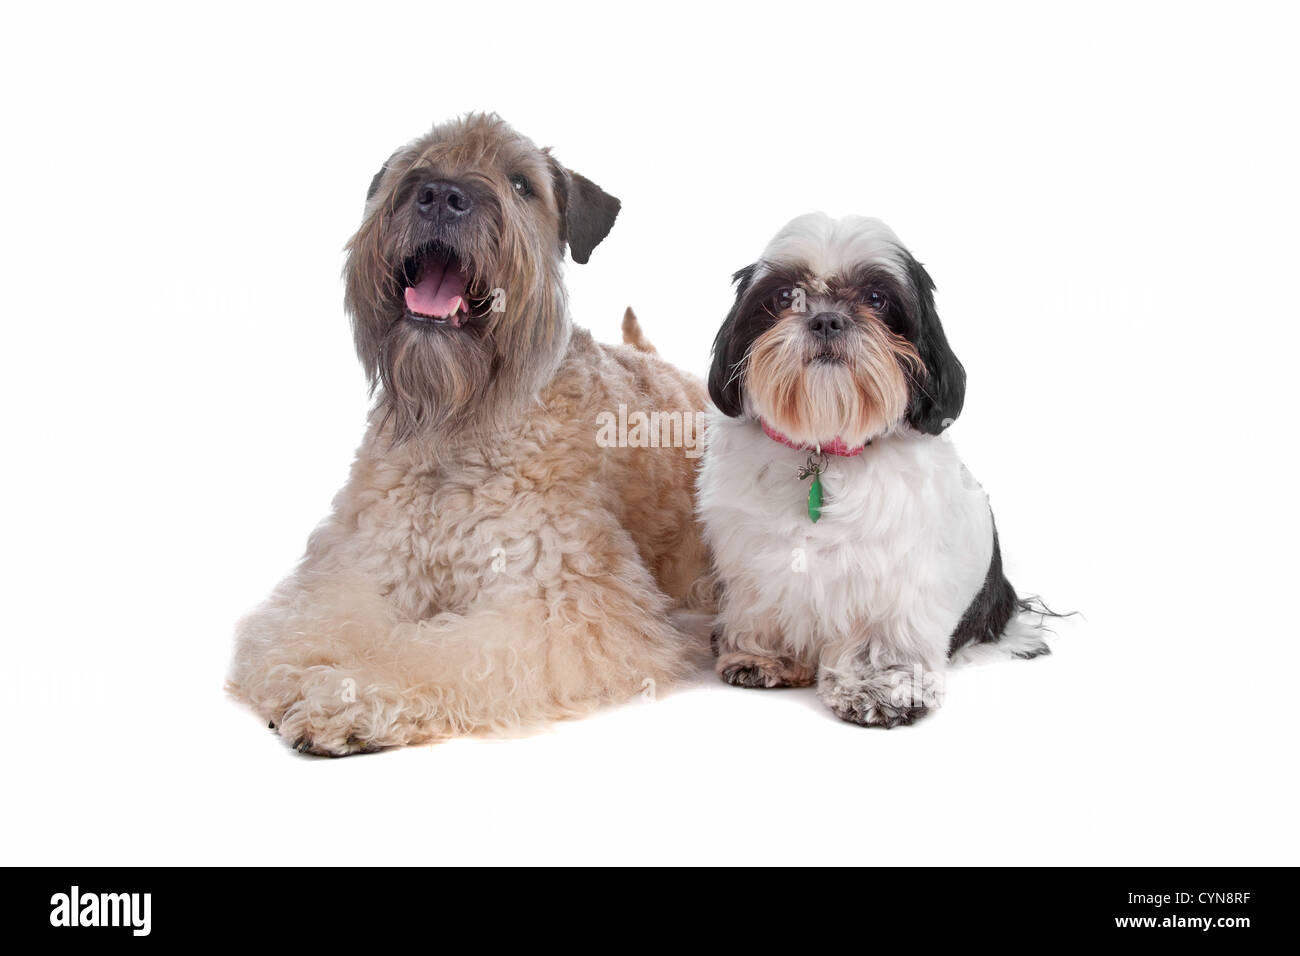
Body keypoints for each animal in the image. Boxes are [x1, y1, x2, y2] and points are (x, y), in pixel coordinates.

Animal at [226, 113, 712, 754]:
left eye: (522, 183)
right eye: (416, 164)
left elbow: (425, 655)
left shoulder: (558, 603)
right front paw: (297, 671)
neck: (456, 434)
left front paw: (346, 696)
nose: (439, 195)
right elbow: (316, 624)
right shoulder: (360, 565)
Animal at [702, 213, 1045, 728]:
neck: (827, 445)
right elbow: (766, 604)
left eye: (877, 299)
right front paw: (766, 656)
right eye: (783, 297)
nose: (826, 318)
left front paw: (880, 688)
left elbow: (883, 637)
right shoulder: (756, 564)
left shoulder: (895, 580)